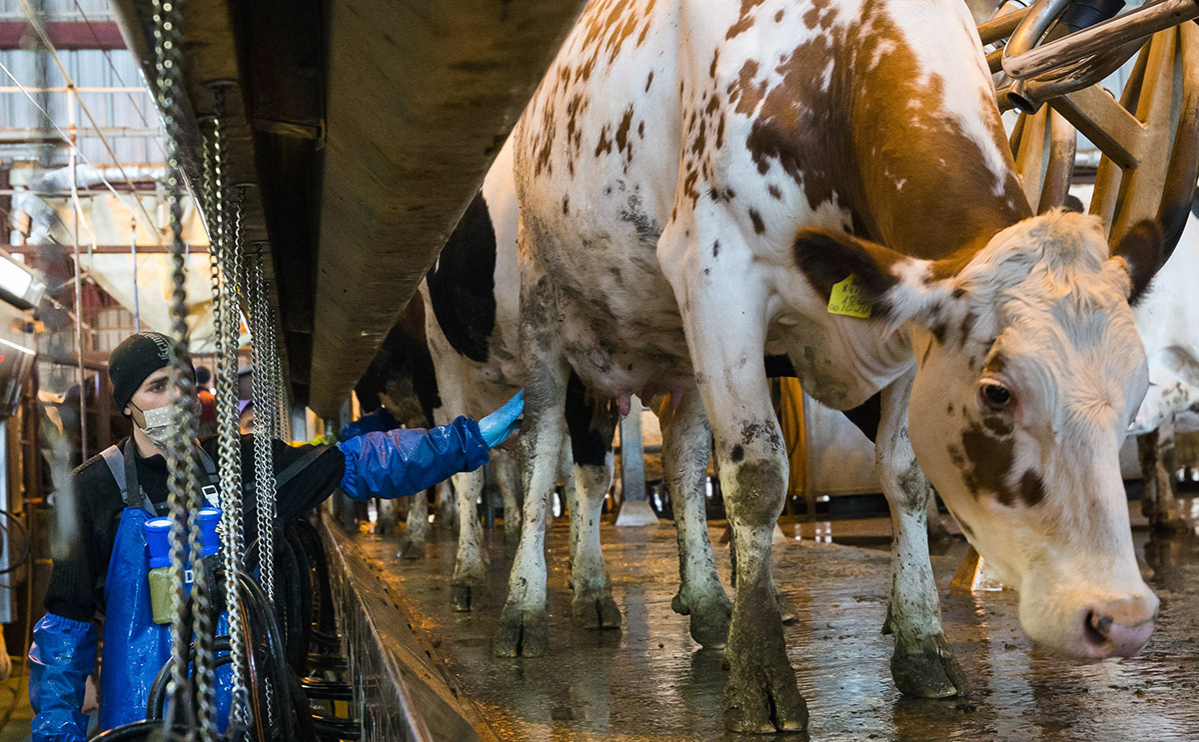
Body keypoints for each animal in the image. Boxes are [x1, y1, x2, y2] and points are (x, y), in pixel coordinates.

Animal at [501, 0, 1165, 733]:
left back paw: (706, 605)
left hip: (679, 340)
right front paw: (761, 680)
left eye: (1137, 393)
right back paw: (531, 608)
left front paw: (922, 645)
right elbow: (757, 478)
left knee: (681, 456)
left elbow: (905, 476)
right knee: (544, 449)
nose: (1120, 617)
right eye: (996, 393)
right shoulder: (716, 272)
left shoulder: (905, 327)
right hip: (541, 301)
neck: (837, 60)